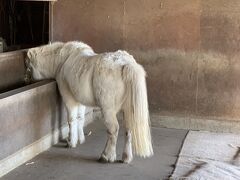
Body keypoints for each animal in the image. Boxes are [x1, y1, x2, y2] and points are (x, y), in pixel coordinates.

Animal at [26, 41, 154, 163]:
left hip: (108, 109)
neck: (62, 61)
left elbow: (71, 119)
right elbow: (80, 118)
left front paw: (71, 142)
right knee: (129, 129)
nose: (27, 82)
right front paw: (80, 139)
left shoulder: (69, 98)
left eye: (28, 66)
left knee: (113, 129)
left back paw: (106, 156)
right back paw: (126, 157)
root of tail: (126, 64)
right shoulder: (80, 100)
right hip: (129, 109)